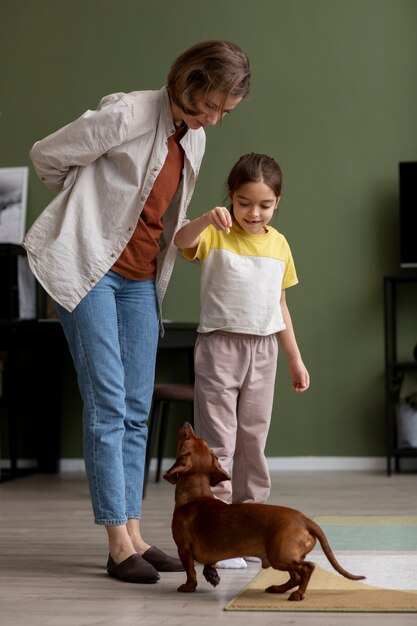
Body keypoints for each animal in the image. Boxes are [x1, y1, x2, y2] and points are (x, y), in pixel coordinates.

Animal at [162, 422, 364, 596]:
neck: (195, 497)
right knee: (296, 576)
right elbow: (208, 565)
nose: (187, 423)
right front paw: (212, 575)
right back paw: (279, 588)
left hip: (280, 555)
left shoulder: (184, 548)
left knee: (307, 569)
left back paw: (298, 594)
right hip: (281, 558)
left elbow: (190, 571)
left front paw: (188, 586)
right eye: (201, 441)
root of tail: (305, 520)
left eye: (186, 438)